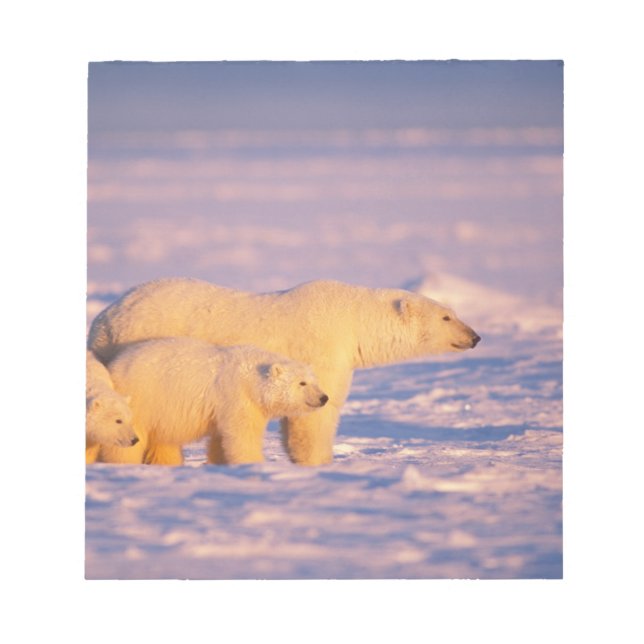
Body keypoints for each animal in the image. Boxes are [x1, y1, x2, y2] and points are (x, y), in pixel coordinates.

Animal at [96, 337, 329, 466]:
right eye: (301, 383)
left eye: (314, 381)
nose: (323, 397)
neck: (251, 379)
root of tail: (115, 366)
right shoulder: (236, 396)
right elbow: (243, 435)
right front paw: (254, 463)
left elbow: (221, 438)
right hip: (143, 399)